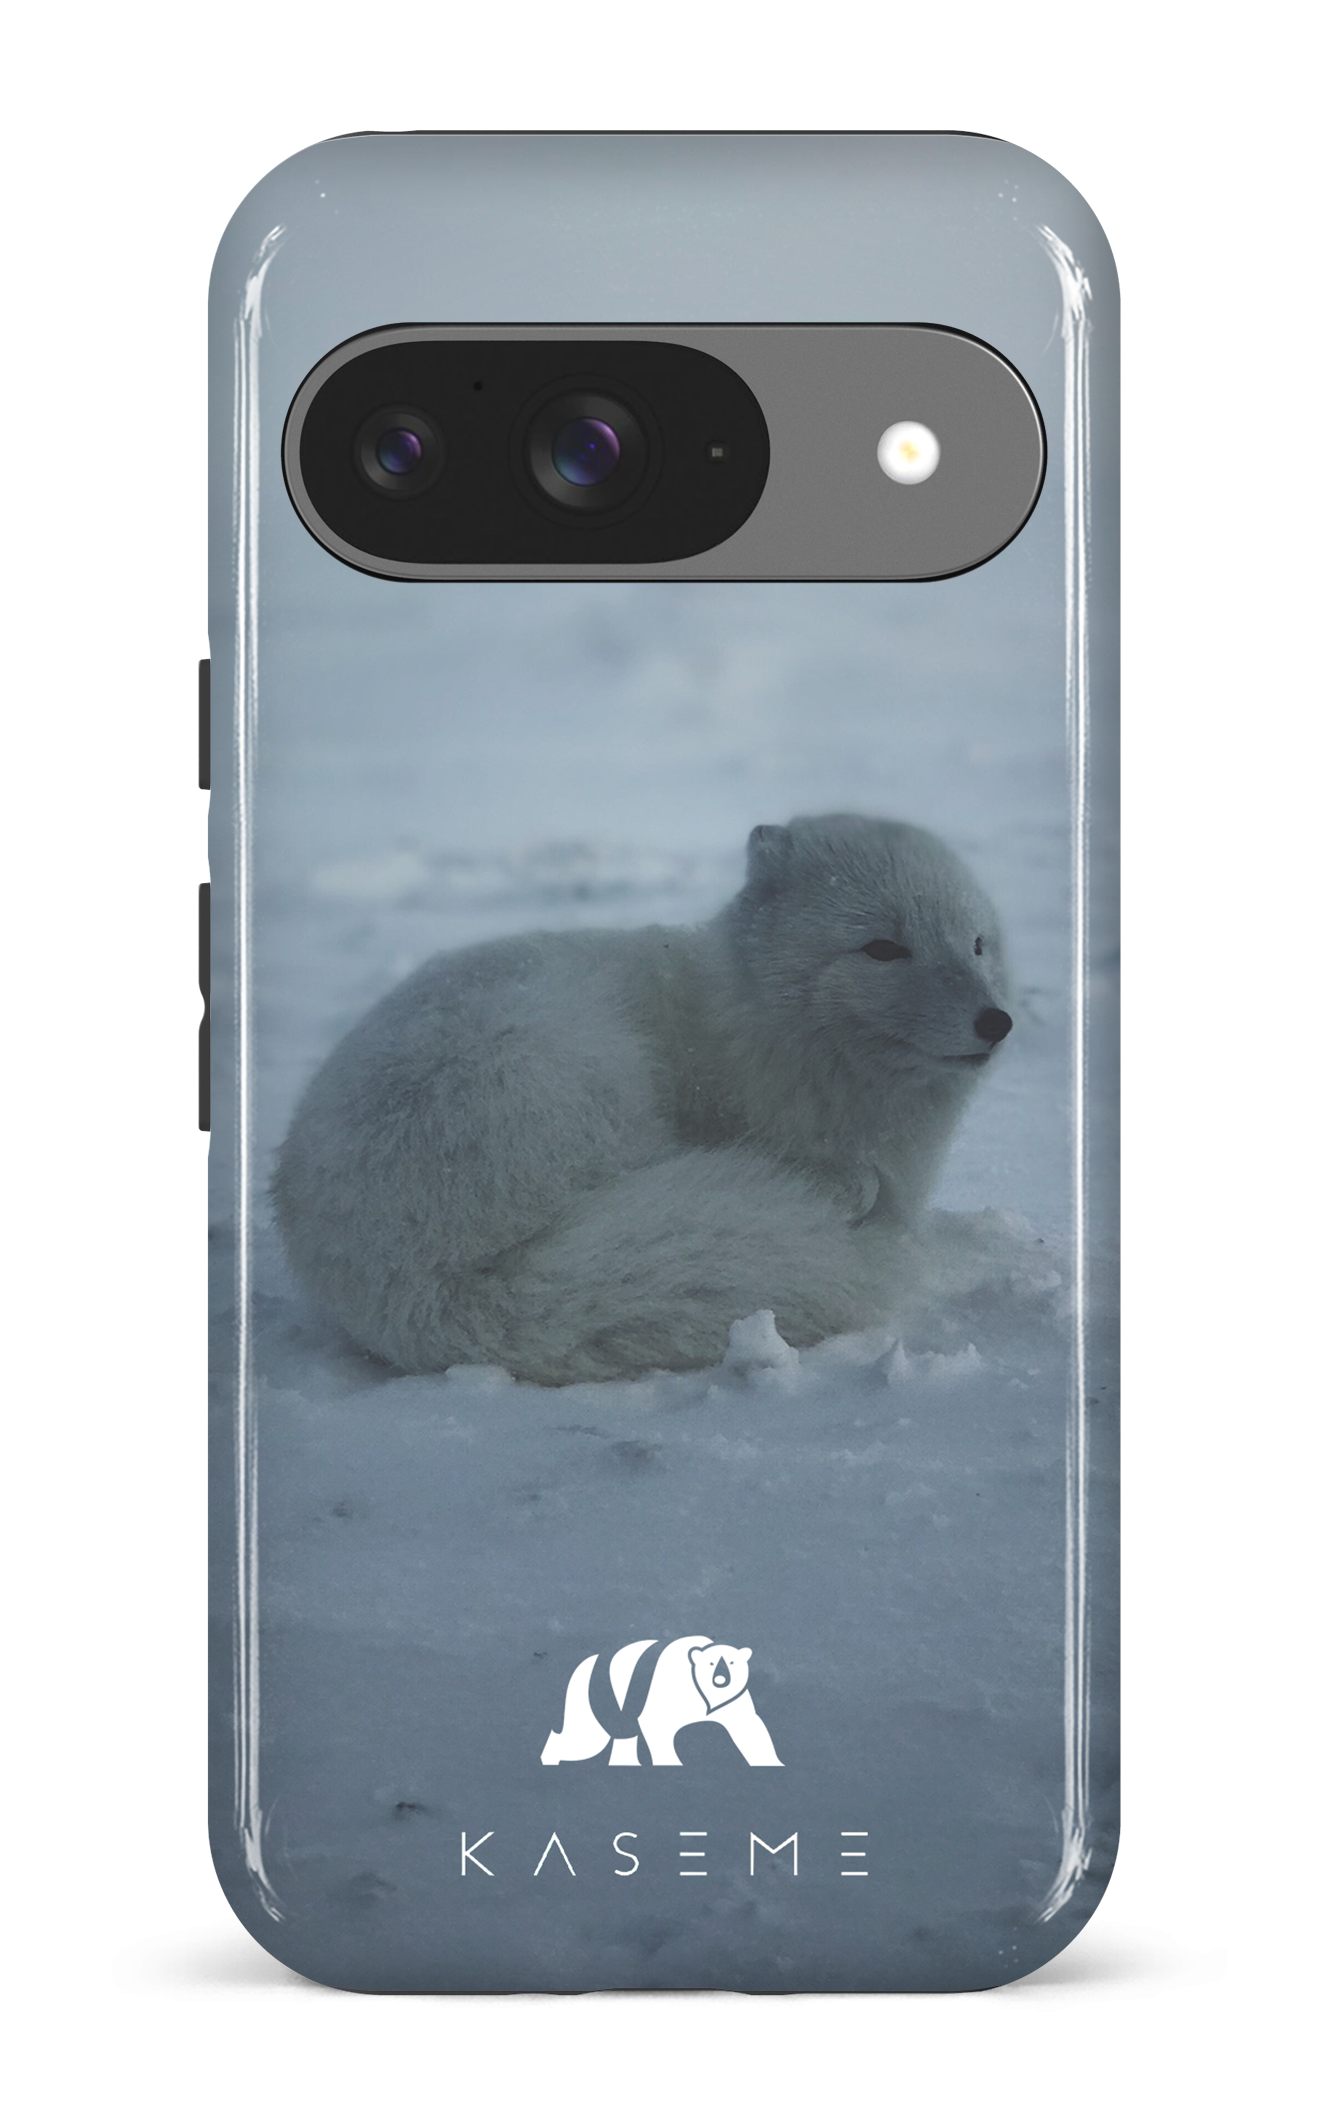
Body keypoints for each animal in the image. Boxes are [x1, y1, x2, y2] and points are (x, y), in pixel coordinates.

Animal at [273, 815, 1013, 1384]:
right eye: (882, 948)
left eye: (976, 943)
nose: (996, 1021)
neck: (751, 1022)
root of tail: (422, 1287)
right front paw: (845, 1188)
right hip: (570, 1068)